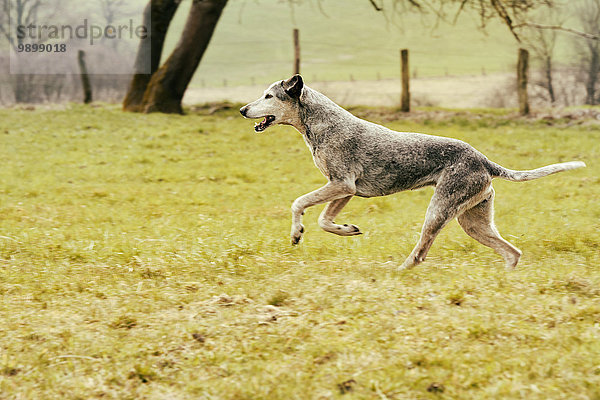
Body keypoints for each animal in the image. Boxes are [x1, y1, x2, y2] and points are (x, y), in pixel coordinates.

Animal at [240, 76, 584, 268]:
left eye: (269, 96)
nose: (243, 109)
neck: (319, 122)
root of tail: (485, 161)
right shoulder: (345, 190)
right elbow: (325, 220)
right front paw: (347, 229)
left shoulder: (341, 185)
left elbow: (298, 203)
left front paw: (296, 233)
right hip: (473, 221)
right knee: (512, 253)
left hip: (439, 210)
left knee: (420, 253)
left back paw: (399, 272)